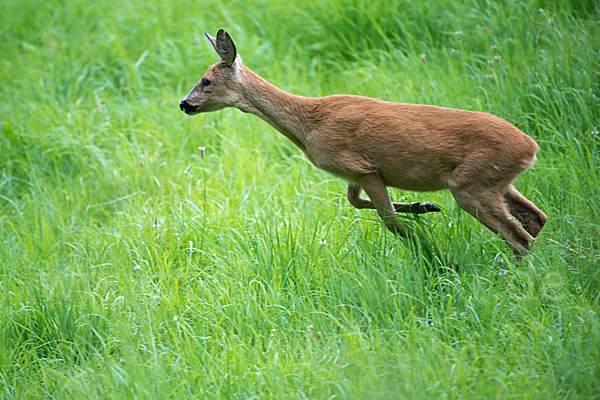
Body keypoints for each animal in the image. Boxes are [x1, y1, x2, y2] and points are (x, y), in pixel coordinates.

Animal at [179, 28, 548, 260]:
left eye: (206, 81)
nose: (184, 103)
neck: (309, 124)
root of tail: (531, 148)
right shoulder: (354, 175)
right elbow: (356, 203)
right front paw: (424, 207)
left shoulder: (362, 167)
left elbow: (390, 222)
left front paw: (436, 256)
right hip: (493, 181)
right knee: (536, 219)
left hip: (471, 185)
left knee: (519, 237)